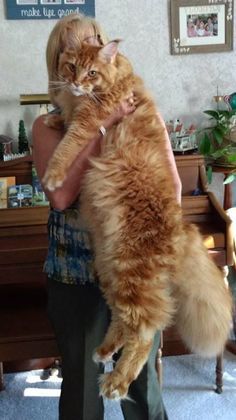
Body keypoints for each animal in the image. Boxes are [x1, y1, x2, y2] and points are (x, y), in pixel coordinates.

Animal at [42, 35, 232, 398]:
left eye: (91, 72)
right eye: (71, 66)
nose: (76, 83)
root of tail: (182, 228)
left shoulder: (91, 118)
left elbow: (65, 148)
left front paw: (52, 175)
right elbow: (63, 121)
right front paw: (51, 119)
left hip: (131, 274)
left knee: (144, 334)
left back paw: (117, 383)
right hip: (110, 269)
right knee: (123, 322)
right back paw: (104, 351)